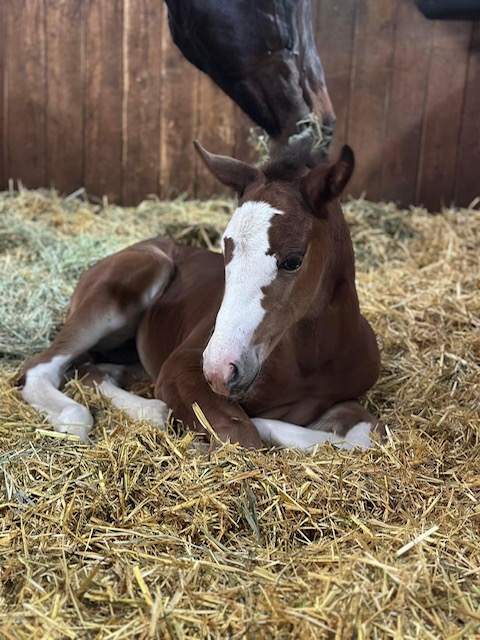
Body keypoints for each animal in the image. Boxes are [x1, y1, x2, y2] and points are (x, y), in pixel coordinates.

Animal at [20, 140, 384, 450]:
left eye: (293, 260)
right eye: (225, 247)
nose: (219, 369)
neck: (310, 361)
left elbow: (367, 432)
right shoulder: (180, 367)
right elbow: (243, 434)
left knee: (90, 370)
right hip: (136, 278)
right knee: (40, 368)